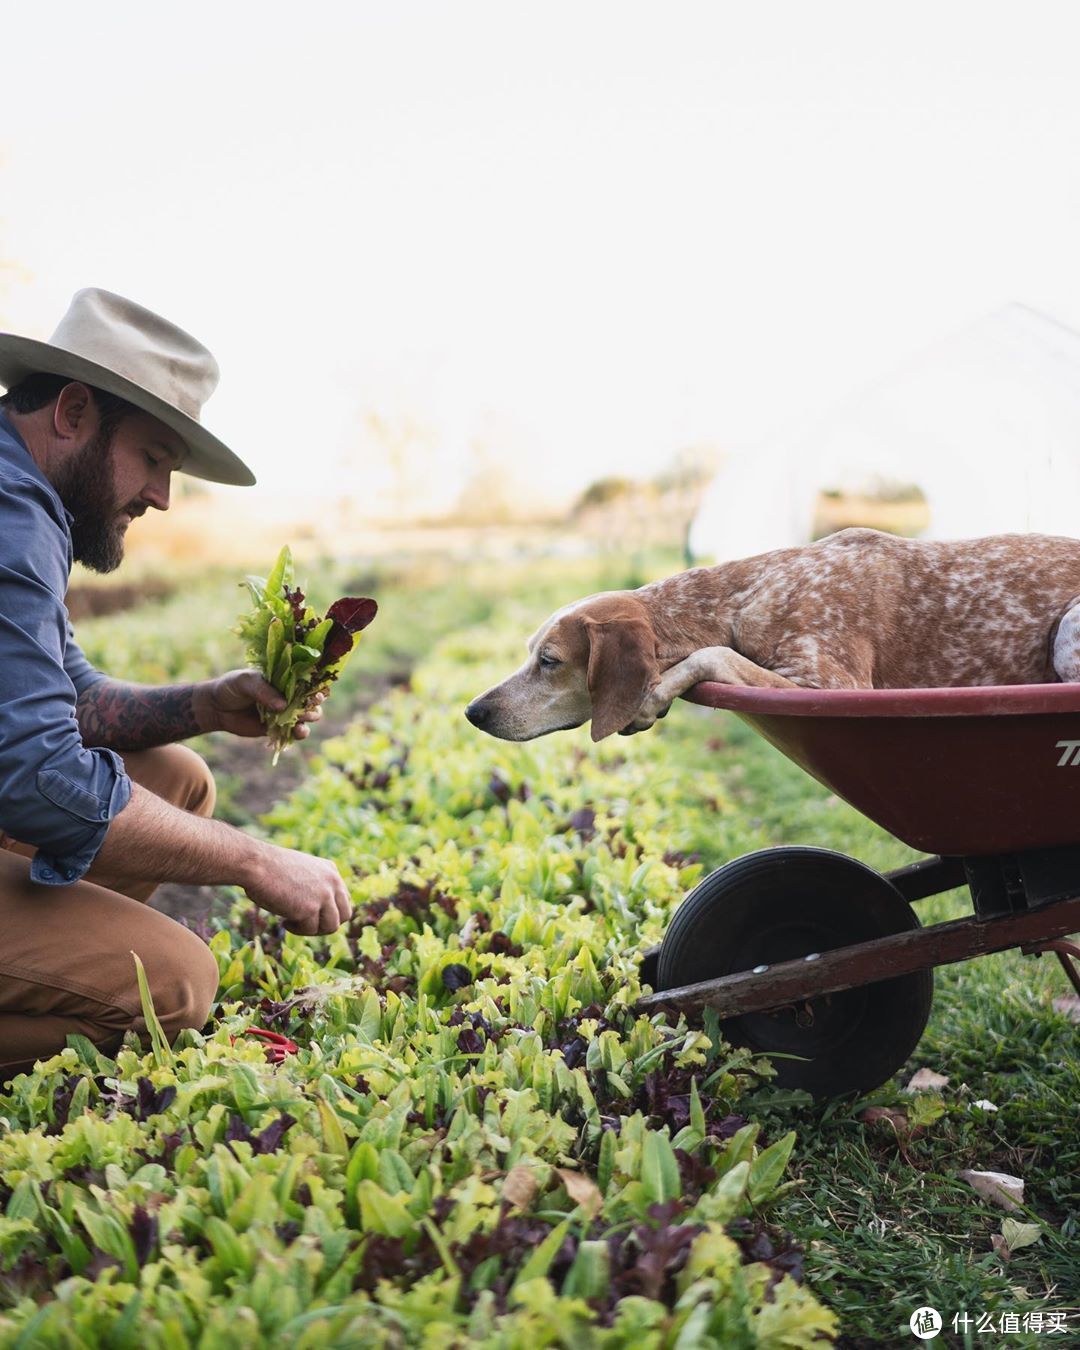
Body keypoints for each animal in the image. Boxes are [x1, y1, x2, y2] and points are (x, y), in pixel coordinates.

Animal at [461, 523, 1080, 739]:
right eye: (531, 653)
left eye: (549, 661)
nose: (473, 711)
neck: (745, 594)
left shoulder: (834, 688)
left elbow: (712, 655)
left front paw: (653, 697)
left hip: (1068, 631)